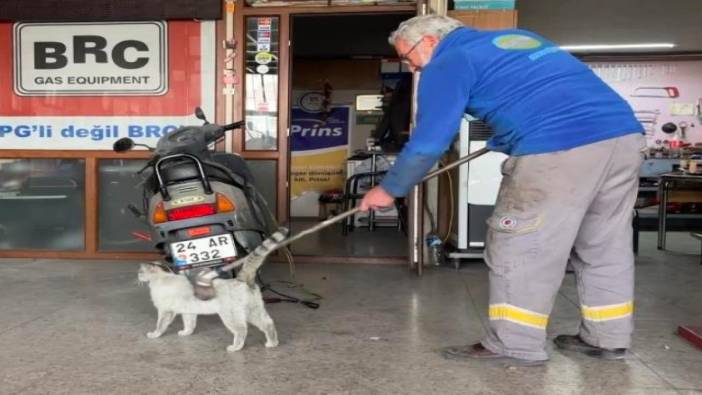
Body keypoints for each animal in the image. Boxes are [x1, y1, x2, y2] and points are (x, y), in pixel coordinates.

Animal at [138, 232, 284, 352]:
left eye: (140, 272)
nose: (137, 276)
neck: (162, 277)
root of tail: (242, 279)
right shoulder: (188, 311)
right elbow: (189, 324)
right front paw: (186, 333)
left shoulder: (165, 311)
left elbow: (160, 325)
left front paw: (154, 334)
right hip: (253, 311)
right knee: (268, 324)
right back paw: (272, 343)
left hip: (231, 316)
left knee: (241, 330)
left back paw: (235, 347)